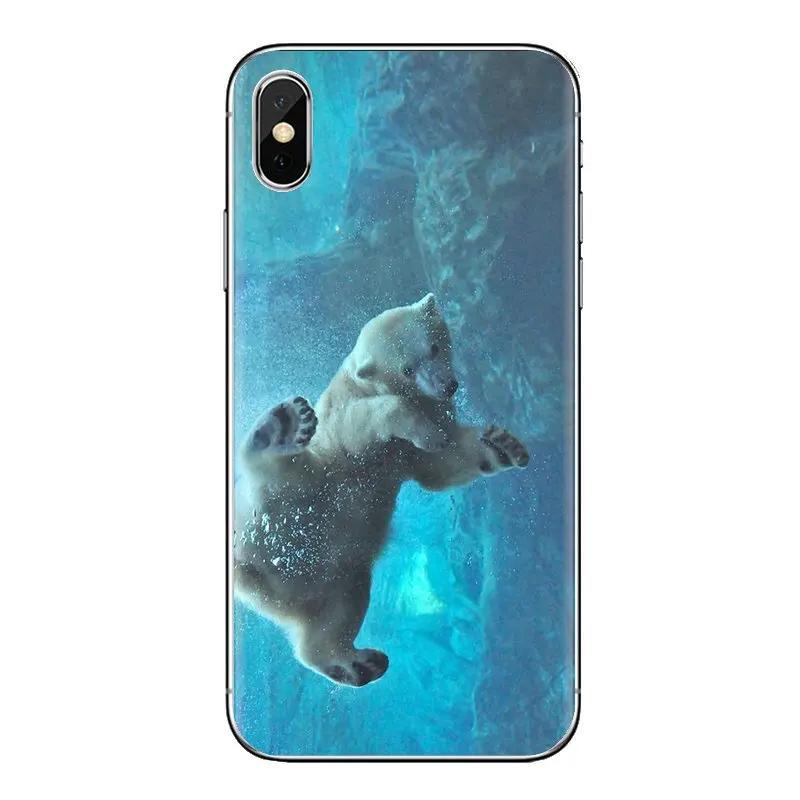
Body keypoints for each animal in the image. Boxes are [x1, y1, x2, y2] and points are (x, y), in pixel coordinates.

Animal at [234, 293, 529, 687]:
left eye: (434, 347)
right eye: (407, 369)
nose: (447, 385)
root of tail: (248, 571)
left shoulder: (417, 439)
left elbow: (440, 465)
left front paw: (501, 445)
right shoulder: (345, 419)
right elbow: (369, 423)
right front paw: (429, 433)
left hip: (334, 575)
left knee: (335, 616)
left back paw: (357, 664)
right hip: (289, 495)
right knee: (275, 475)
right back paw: (280, 426)